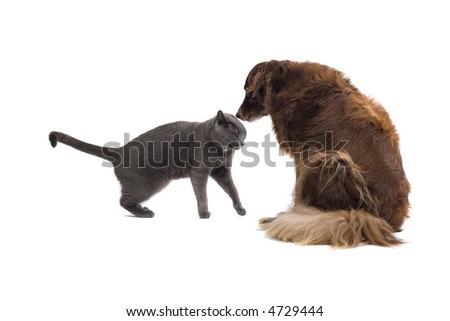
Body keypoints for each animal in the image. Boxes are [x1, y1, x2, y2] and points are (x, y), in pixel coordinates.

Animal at [49, 110, 246, 218]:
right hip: (147, 184)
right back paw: (145, 212)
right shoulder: (200, 172)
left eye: (244, 135)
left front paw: (240, 208)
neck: (221, 150)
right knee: (124, 200)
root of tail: (121, 150)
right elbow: (202, 194)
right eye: (236, 135)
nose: (242, 143)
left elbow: (233, 189)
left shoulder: (222, 171)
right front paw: (204, 213)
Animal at [237, 60, 410, 246]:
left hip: (331, 161)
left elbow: (298, 193)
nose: (237, 115)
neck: (286, 83)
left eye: (249, 92)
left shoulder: (303, 155)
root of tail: (384, 220)